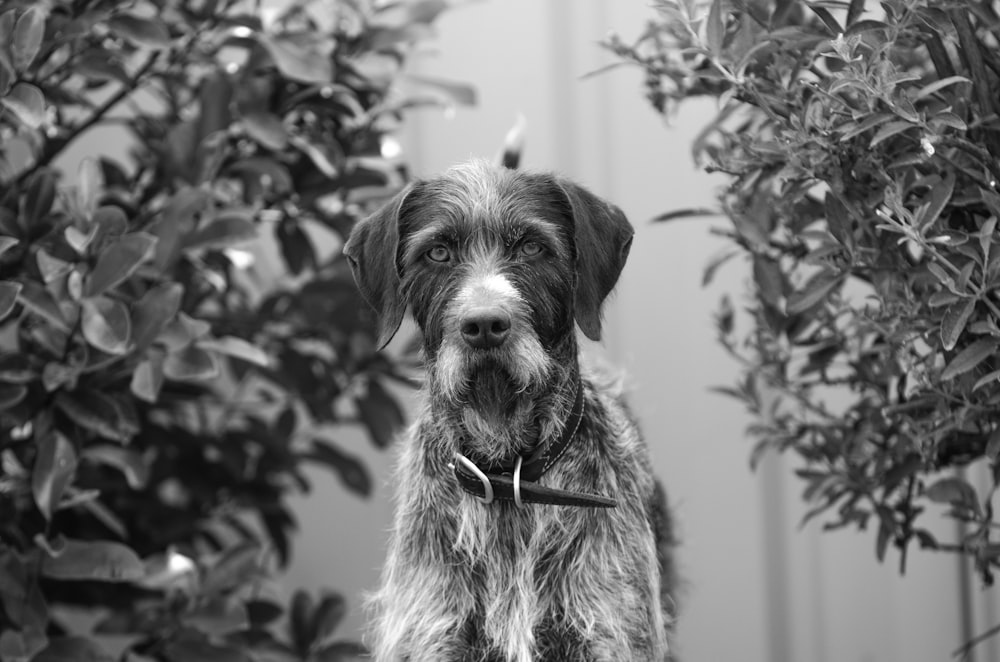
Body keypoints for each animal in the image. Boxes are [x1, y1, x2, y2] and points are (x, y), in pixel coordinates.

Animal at [344, 161, 680, 662]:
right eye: (438, 252)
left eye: (532, 247)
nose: (484, 325)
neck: (505, 470)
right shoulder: (434, 634)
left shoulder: (607, 634)